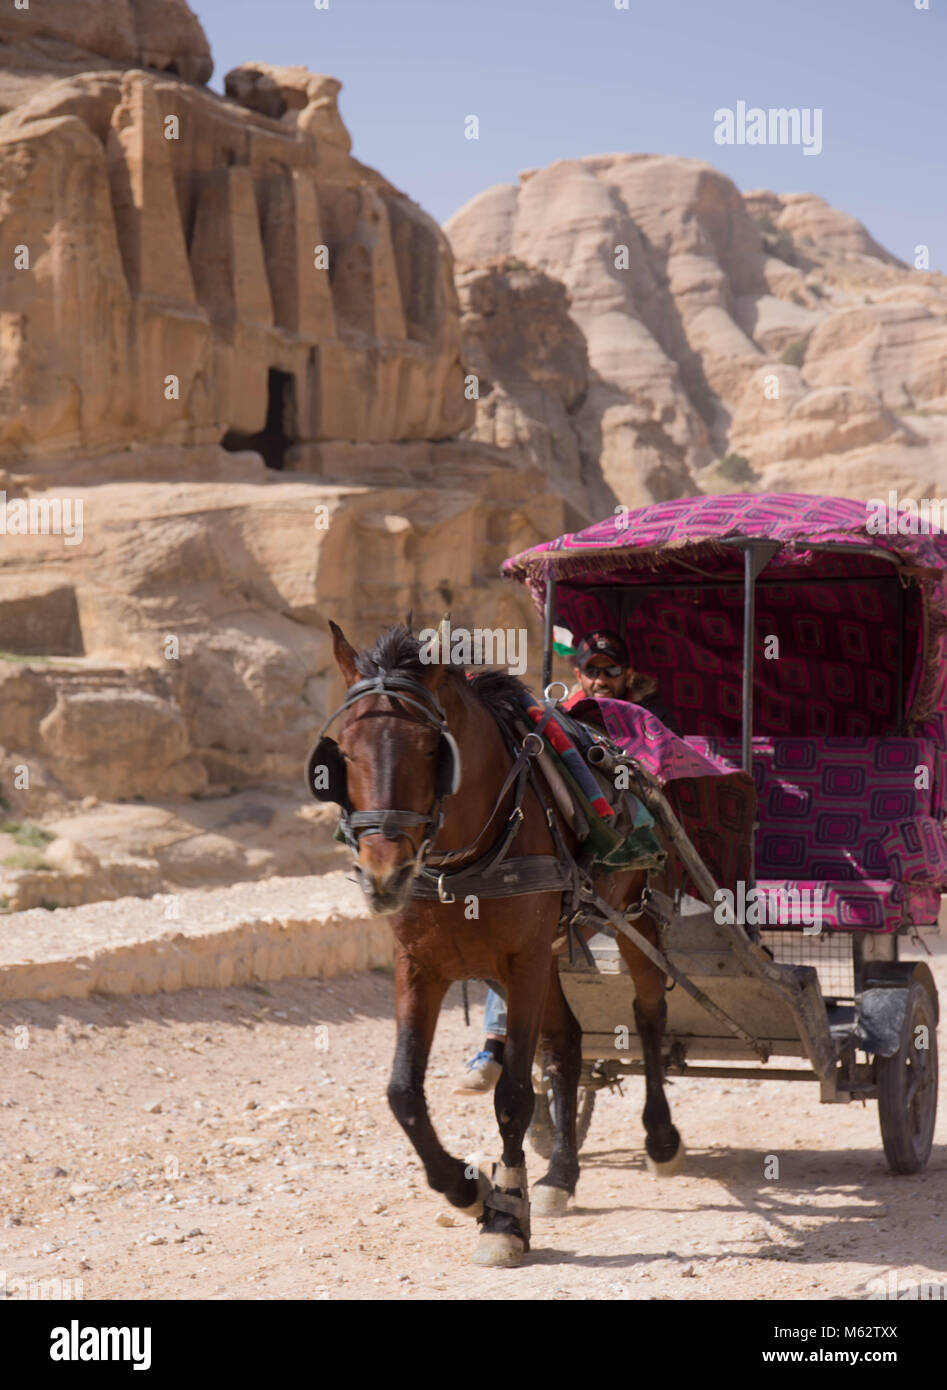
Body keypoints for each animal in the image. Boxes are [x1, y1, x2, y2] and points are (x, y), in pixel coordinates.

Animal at [311, 620, 684, 1267]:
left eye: (431, 751)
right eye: (345, 754)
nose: (383, 875)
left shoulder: (524, 961)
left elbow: (512, 1095)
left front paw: (506, 1216)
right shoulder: (420, 966)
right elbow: (403, 1093)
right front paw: (466, 1189)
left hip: (633, 916)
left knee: (648, 1014)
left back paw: (659, 1138)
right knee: (565, 1046)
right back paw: (560, 1174)